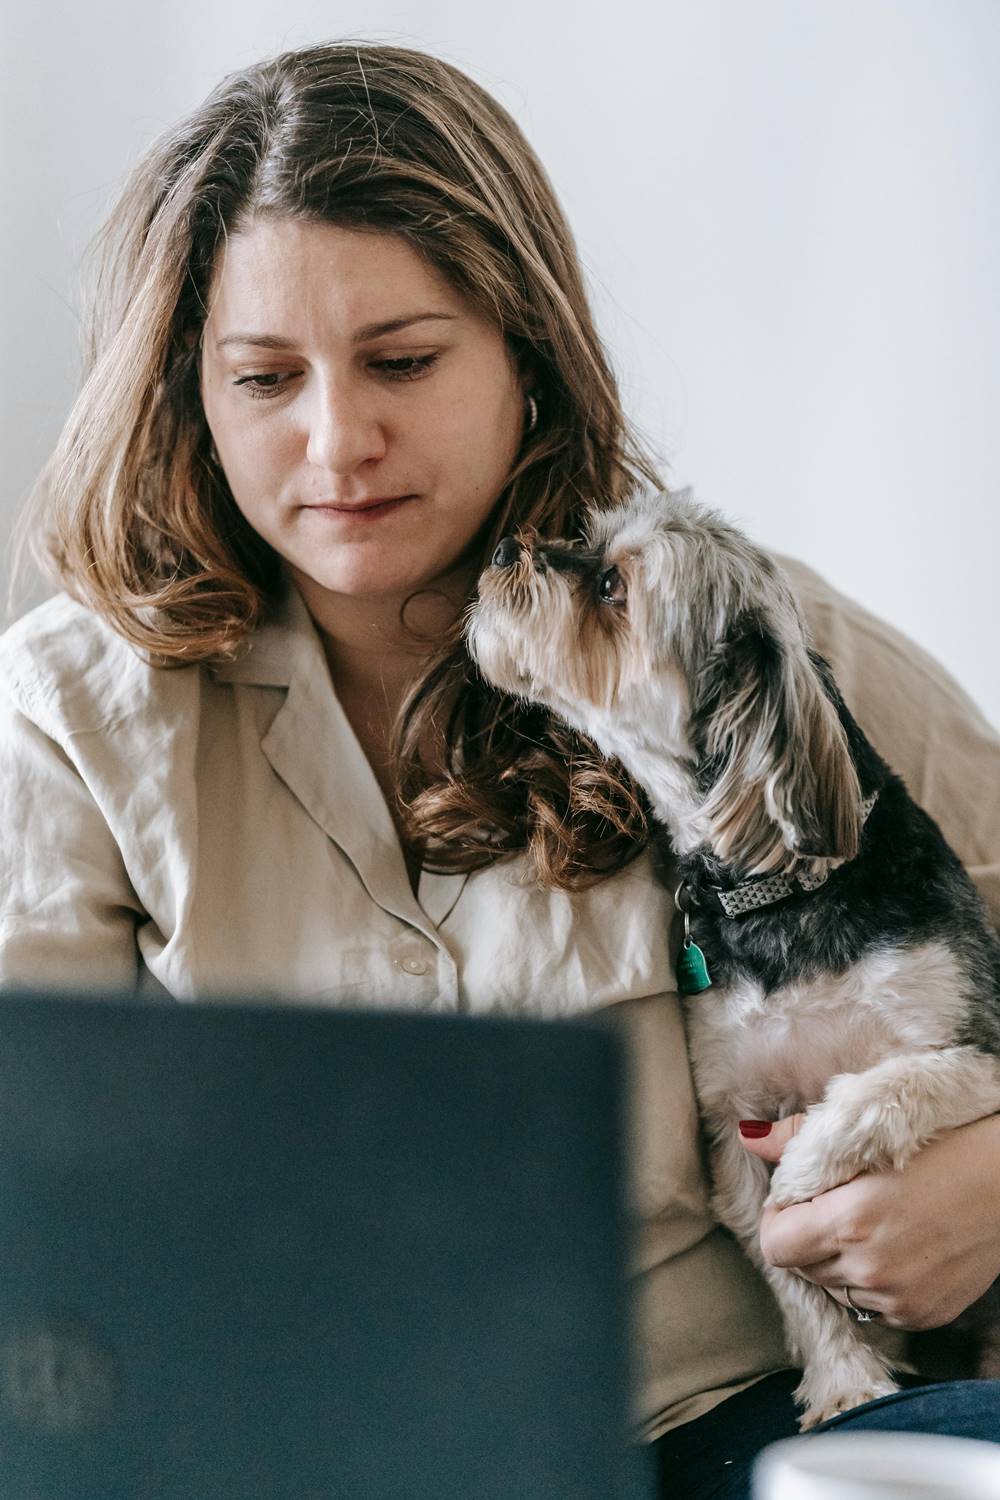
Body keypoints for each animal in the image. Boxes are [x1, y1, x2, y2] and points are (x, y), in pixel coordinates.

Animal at [470, 486, 1000, 1422]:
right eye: (588, 540)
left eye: (611, 585)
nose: (500, 551)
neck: (783, 893)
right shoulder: (730, 1120)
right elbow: (791, 1272)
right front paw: (846, 1382)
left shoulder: (978, 1046)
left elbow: (891, 1085)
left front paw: (812, 1163)